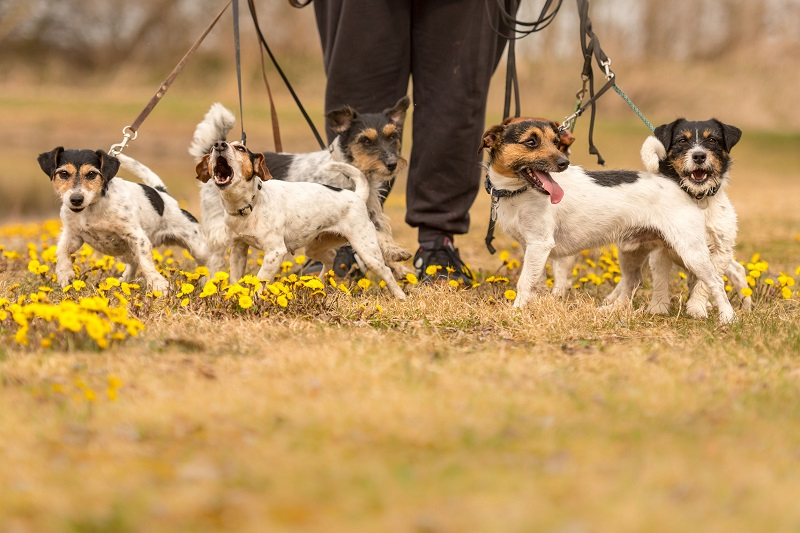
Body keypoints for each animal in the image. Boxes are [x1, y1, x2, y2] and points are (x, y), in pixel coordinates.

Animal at [38, 148, 208, 294]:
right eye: (63, 173)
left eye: (92, 174)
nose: (76, 199)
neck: (92, 208)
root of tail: (162, 193)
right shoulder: (73, 235)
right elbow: (62, 250)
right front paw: (64, 274)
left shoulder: (138, 238)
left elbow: (146, 263)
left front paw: (158, 285)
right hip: (127, 252)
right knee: (133, 263)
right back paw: (123, 280)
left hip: (197, 247)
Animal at [189, 97, 412, 276]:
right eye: (366, 140)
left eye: (393, 137)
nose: (392, 163)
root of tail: (211, 152)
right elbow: (379, 238)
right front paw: (397, 254)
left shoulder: (369, 212)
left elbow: (381, 236)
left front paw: (398, 264)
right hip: (219, 230)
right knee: (215, 259)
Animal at [195, 139, 406, 300]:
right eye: (213, 148)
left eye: (240, 148)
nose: (219, 144)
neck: (248, 206)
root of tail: (357, 195)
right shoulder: (238, 249)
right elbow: (235, 279)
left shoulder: (275, 252)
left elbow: (260, 279)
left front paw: (254, 299)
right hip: (315, 246)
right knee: (330, 257)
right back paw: (319, 282)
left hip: (366, 250)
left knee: (386, 271)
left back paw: (400, 296)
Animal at [482, 118, 736, 322]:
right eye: (531, 142)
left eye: (556, 142)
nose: (563, 163)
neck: (518, 192)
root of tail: (678, 184)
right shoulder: (532, 248)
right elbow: (537, 283)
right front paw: (535, 307)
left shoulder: (539, 244)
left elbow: (525, 282)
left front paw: (516, 311)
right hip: (632, 251)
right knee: (633, 281)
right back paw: (614, 310)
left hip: (691, 252)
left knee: (716, 281)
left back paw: (727, 317)